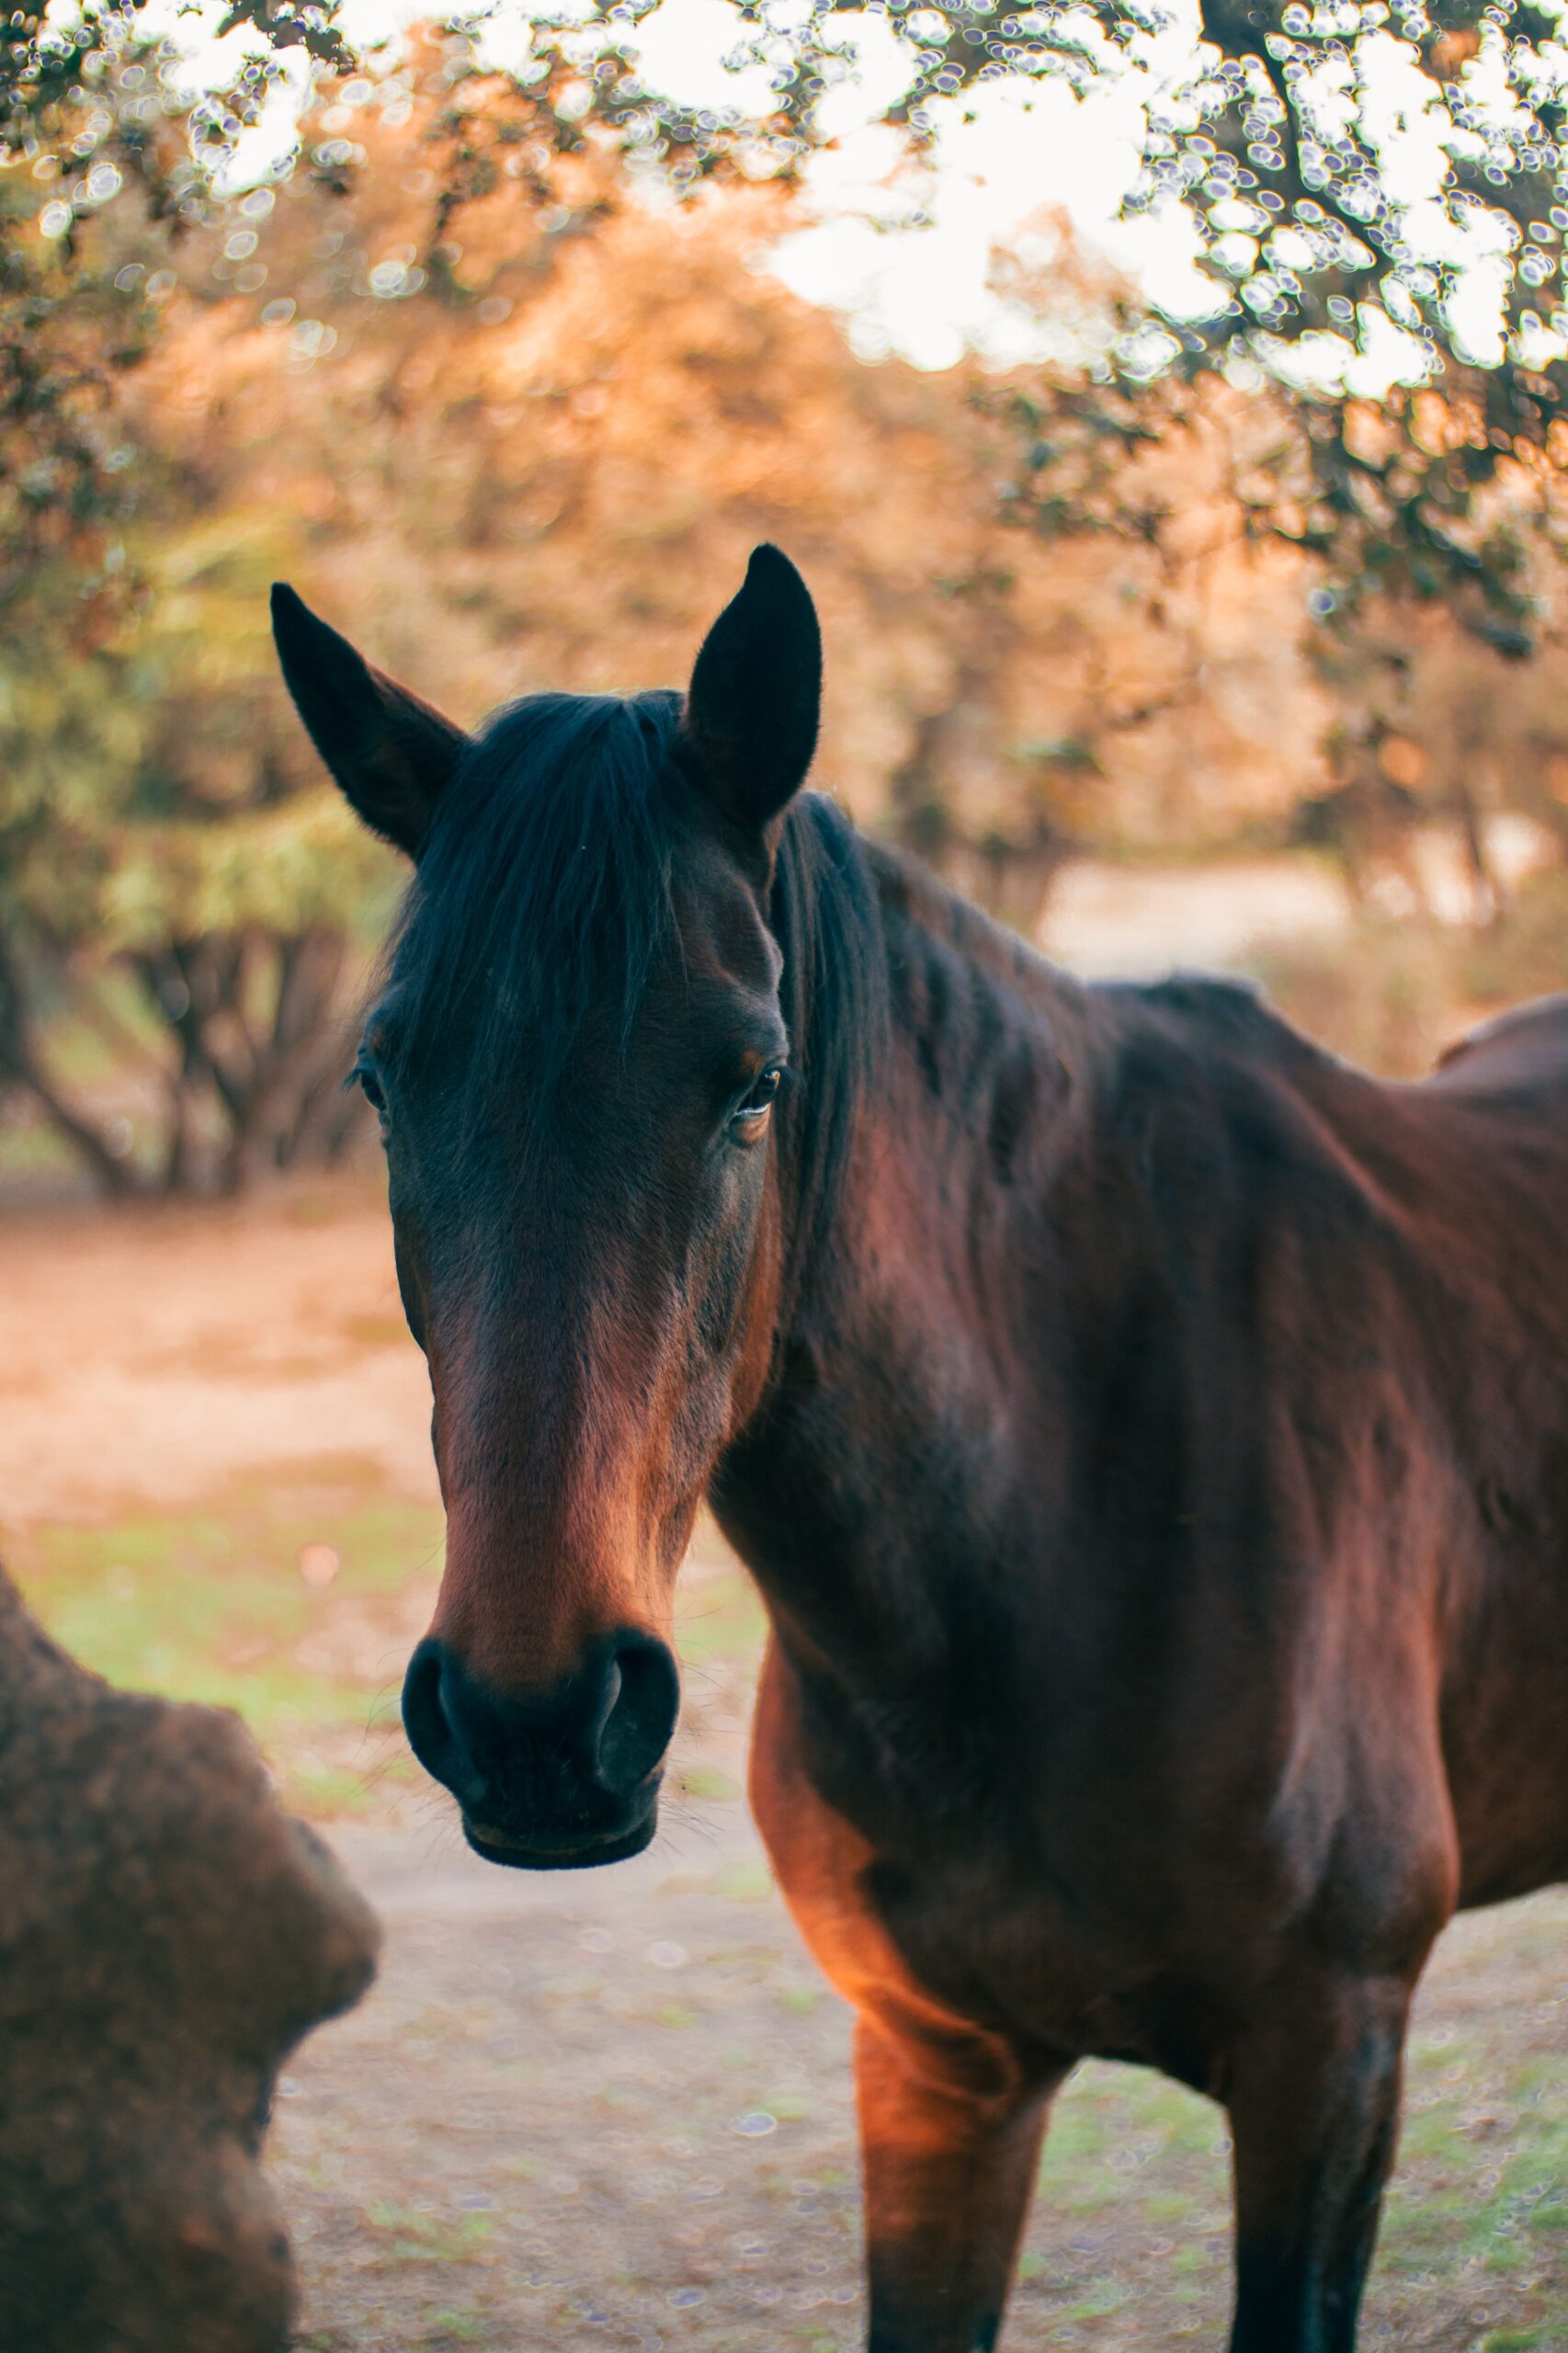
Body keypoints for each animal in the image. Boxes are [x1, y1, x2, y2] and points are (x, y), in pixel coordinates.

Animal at [273, 548, 1568, 2353]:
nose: (536, 1726)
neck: (1061, 1515)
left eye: (755, 1079)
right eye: (382, 1081)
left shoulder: (1331, 2062)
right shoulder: (937, 2070)